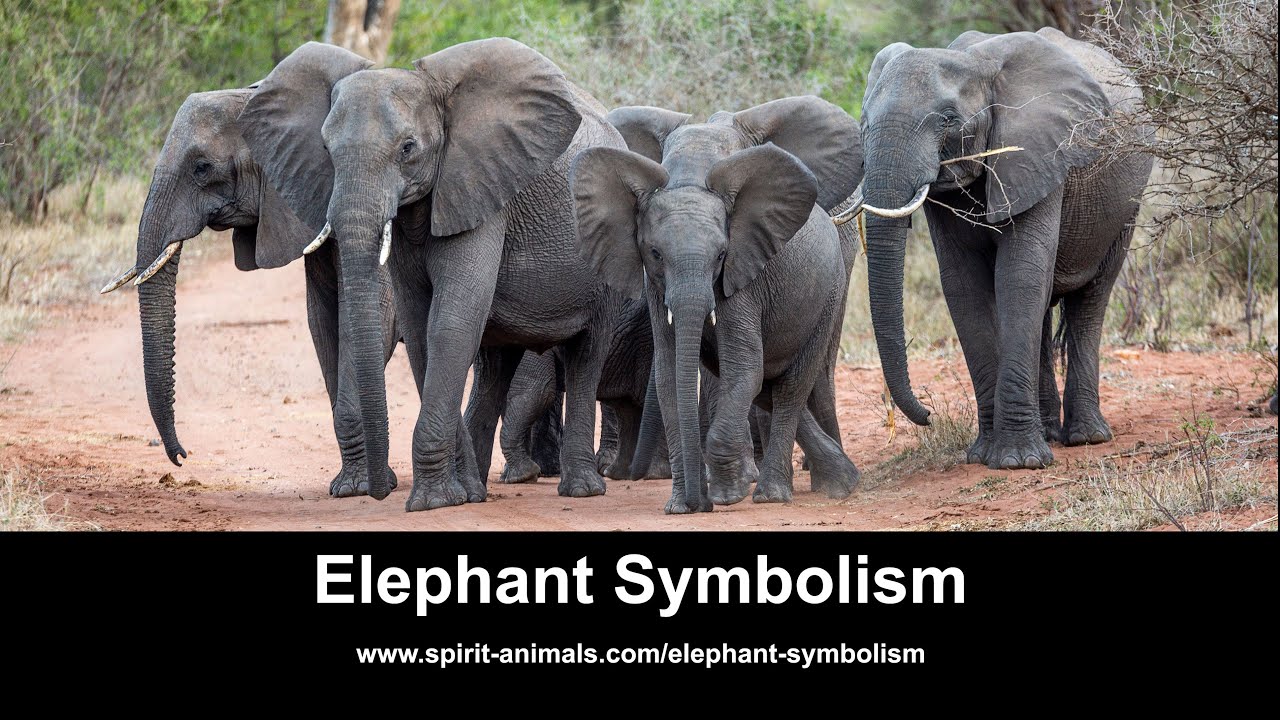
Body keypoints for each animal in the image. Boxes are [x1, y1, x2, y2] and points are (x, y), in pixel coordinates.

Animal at [99, 86, 403, 498]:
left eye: (201, 168)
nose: (182, 457)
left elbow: (374, 319)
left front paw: (358, 488)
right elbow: (323, 321)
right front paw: (356, 484)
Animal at [239, 39, 627, 511]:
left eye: (408, 148)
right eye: (327, 151)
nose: (379, 493)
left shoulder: (480, 189)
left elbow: (452, 320)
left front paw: (432, 502)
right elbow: (421, 324)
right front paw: (455, 495)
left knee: (587, 354)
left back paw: (582, 489)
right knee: (496, 367)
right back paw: (479, 491)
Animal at [571, 96, 864, 514]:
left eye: (721, 254)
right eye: (655, 253)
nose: (701, 504)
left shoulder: (745, 273)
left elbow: (743, 365)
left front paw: (726, 497)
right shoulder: (656, 286)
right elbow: (671, 372)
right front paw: (681, 506)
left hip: (829, 295)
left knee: (789, 387)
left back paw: (776, 493)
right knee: (766, 385)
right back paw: (841, 481)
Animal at [843, 27, 1153, 470]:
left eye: (949, 120)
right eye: (863, 123)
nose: (928, 415)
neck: (975, 63)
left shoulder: (1038, 153)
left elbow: (1019, 277)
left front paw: (1019, 462)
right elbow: (963, 285)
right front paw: (983, 455)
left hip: (1127, 200)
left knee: (1091, 299)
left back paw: (1086, 437)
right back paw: (1050, 432)